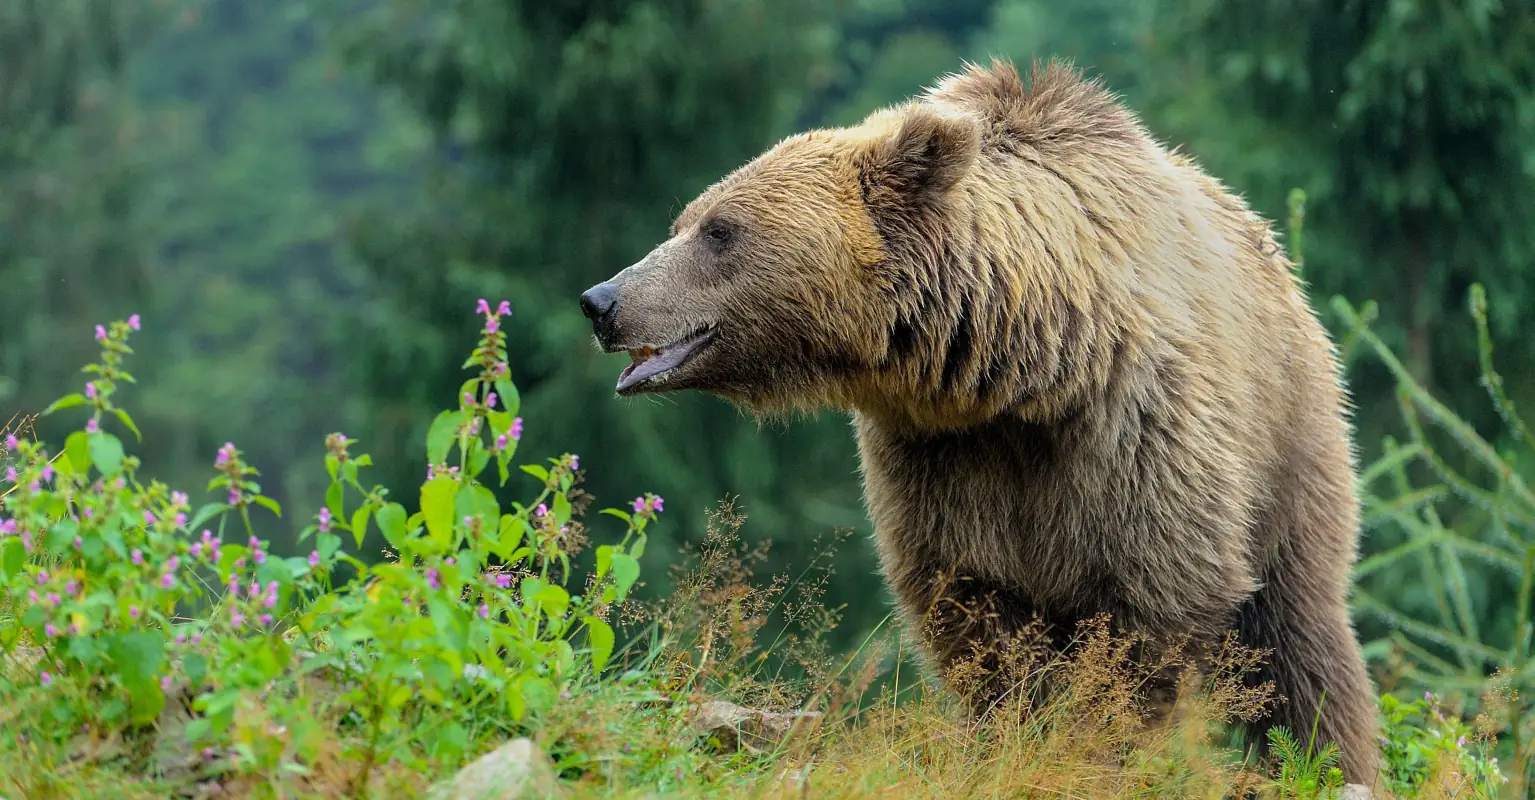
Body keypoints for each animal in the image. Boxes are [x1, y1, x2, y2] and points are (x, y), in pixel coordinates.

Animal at [578, 59, 1381, 783]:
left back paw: (1326, 760)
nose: (602, 300)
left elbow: (1151, 606)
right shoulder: (941, 461)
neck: (1026, 377)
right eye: (684, 221)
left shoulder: (1137, 435)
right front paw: (1015, 735)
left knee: (1297, 640)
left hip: (1289, 446)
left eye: (720, 230)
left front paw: (1100, 744)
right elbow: (973, 612)